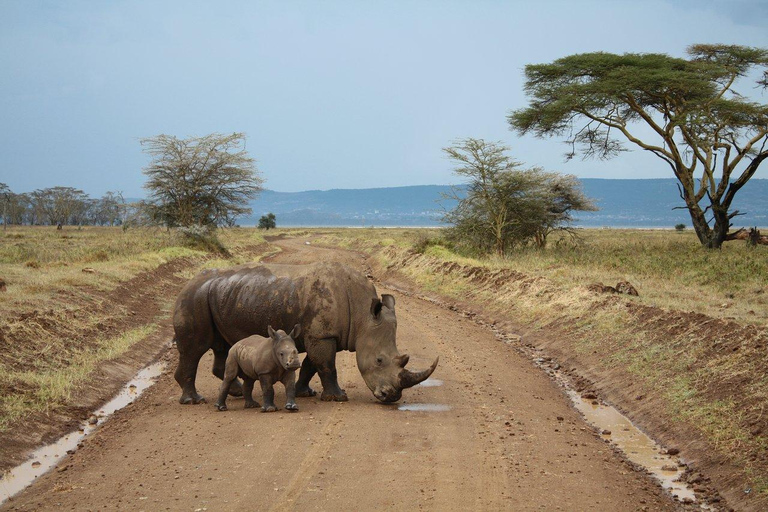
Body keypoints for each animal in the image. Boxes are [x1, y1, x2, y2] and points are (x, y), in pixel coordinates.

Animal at [173, 264, 438, 404]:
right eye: (379, 360)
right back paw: (194, 400)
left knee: (222, 347)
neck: (363, 314)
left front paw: (304, 393)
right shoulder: (322, 336)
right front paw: (338, 397)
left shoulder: (321, 335)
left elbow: (312, 365)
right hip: (194, 298)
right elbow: (327, 366)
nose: (391, 396)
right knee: (195, 349)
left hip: (220, 297)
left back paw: (236, 392)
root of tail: (186, 283)